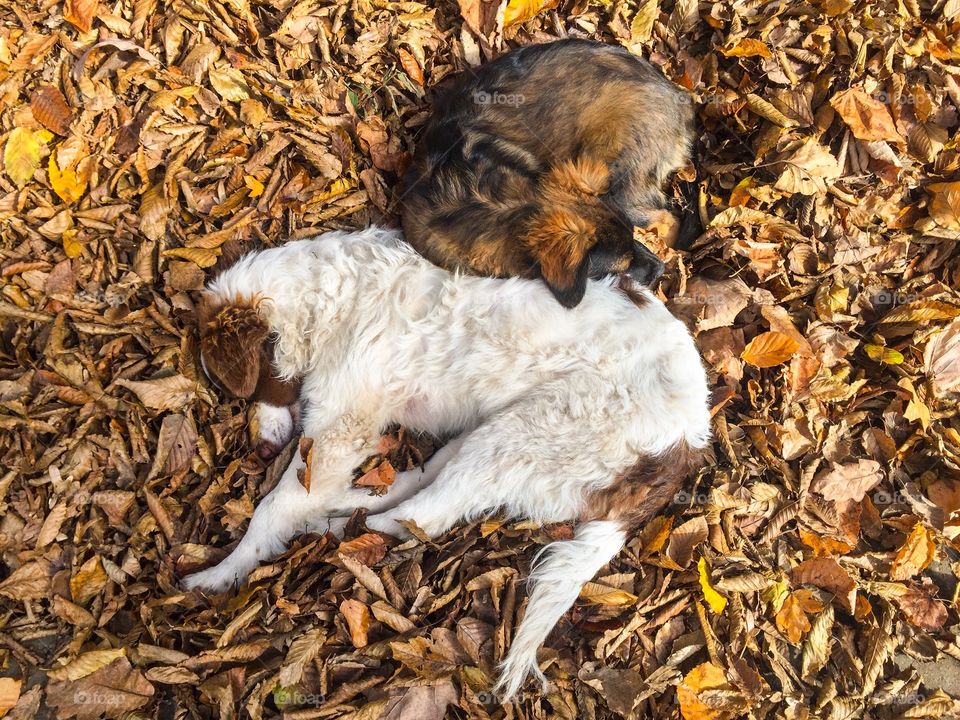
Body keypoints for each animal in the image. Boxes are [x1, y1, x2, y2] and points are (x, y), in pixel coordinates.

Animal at [188, 226, 712, 696]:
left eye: (250, 387)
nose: (260, 451)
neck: (328, 299)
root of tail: (686, 444)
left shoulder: (340, 429)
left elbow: (272, 509)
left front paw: (220, 574)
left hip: (526, 432)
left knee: (419, 517)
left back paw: (328, 530)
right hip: (491, 436)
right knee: (416, 487)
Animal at [402, 38, 692, 306]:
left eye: (632, 240)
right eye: (620, 267)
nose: (660, 269)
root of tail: (678, 100)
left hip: (619, 180)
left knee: (669, 218)